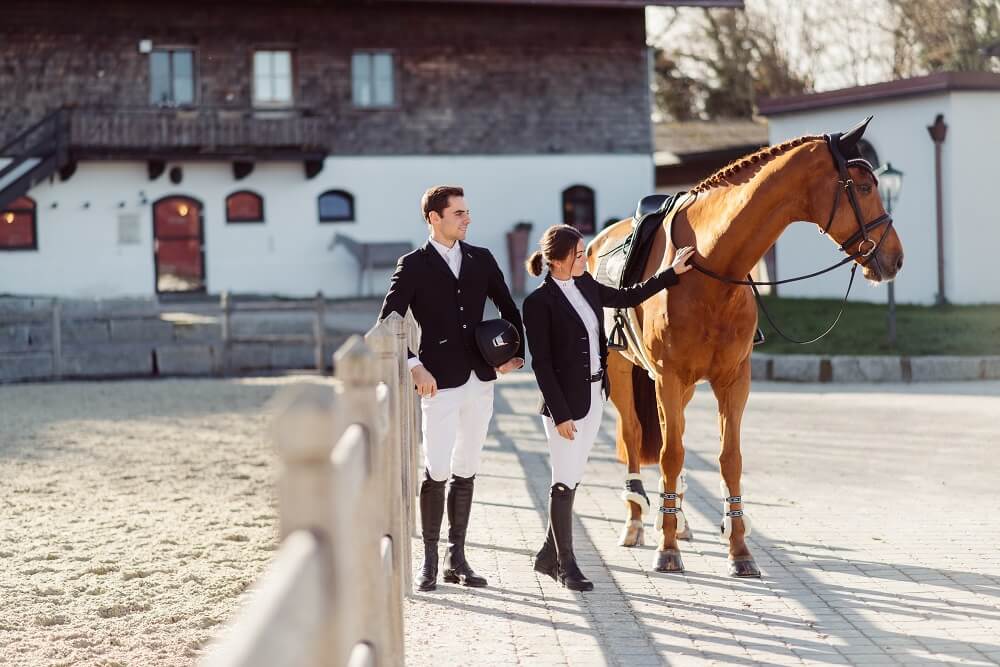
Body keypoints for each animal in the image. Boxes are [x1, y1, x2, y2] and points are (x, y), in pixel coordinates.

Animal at [584, 117, 908, 576]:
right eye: (863, 186)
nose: (895, 258)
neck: (709, 265)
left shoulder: (734, 380)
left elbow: (727, 458)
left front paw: (739, 549)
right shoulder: (668, 376)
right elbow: (669, 454)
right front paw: (667, 549)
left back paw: (678, 519)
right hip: (624, 371)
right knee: (634, 437)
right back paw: (636, 524)